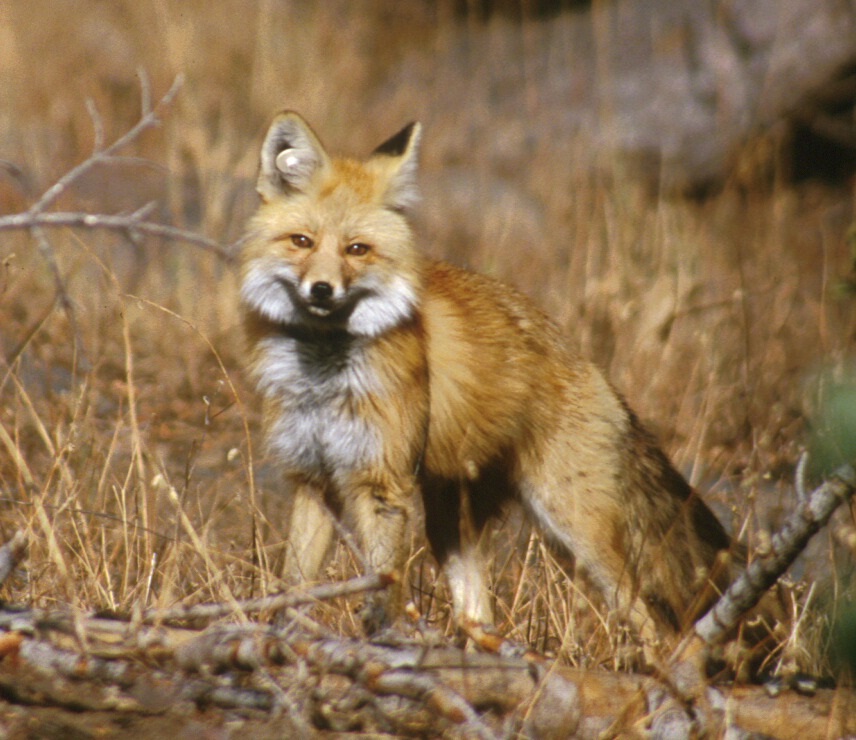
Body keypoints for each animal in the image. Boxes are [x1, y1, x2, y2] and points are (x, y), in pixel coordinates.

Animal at [237, 111, 732, 648]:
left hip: (577, 533)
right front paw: (282, 638)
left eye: (357, 250)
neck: (323, 375)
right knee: (480, 612)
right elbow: (292, 585)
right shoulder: (312, 478)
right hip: (453, 524)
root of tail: (593, 369)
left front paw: (381, 643)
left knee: (657, 623)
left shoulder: (382, 483)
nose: (322, 290)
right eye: (301, 241)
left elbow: (382, 589)